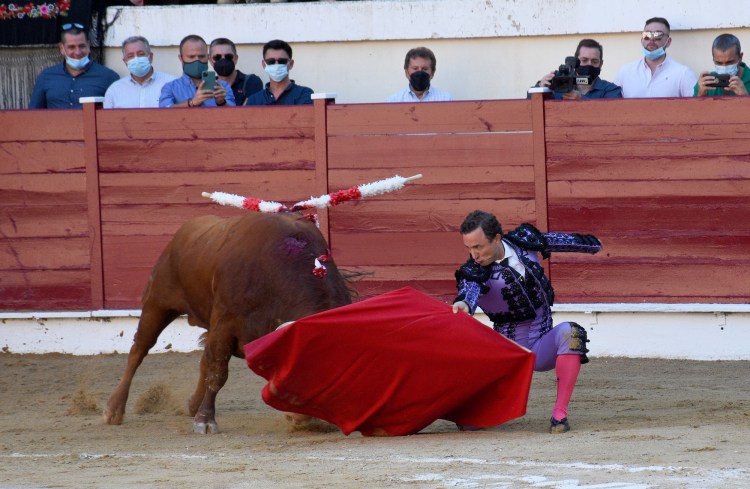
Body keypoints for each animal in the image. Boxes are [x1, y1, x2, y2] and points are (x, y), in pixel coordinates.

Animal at [102, 211, 352, 434]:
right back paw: (114, 410)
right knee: (139, 350)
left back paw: (192, 404)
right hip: (157, 303)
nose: (304, 420)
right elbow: (218, 373)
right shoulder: (225, 323)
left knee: (202, 358)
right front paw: (205, 422)